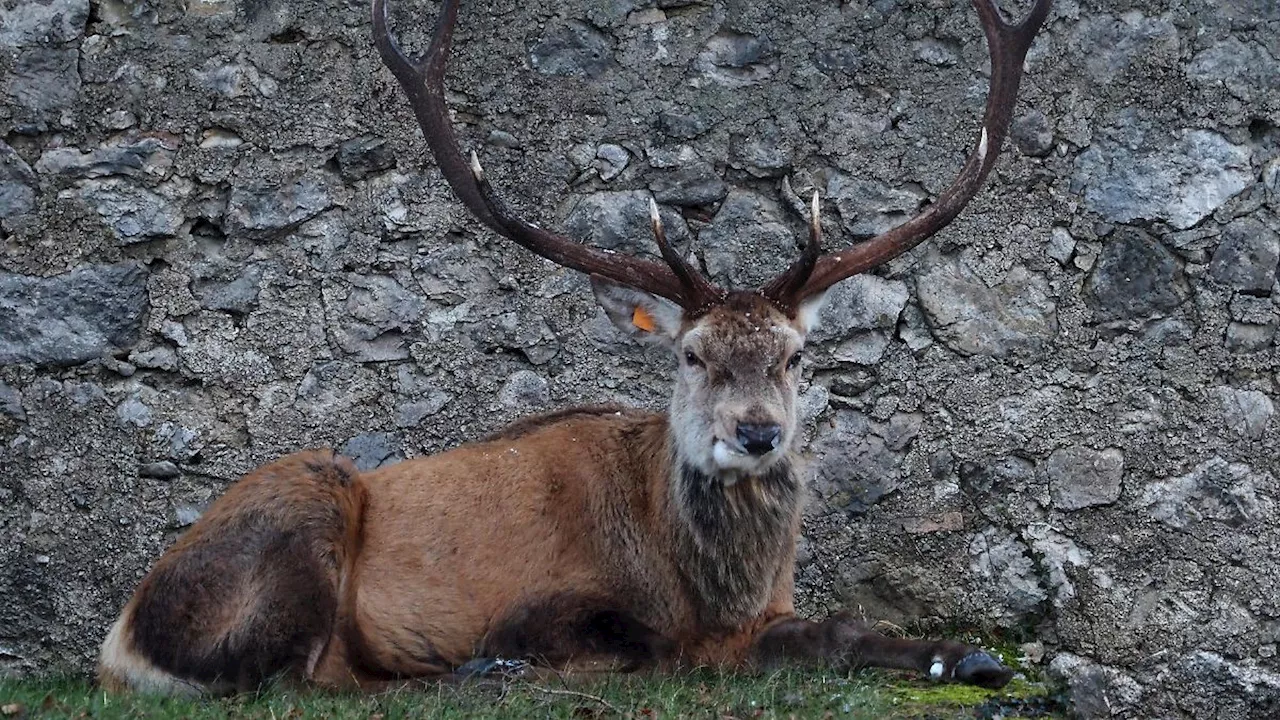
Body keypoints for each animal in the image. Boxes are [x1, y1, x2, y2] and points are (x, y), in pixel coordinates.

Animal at [90, 0, 1049, 696]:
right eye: (691, 355)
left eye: (795, 357)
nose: (757, 433)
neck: (709, 586)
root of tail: (120, 639)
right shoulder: (555, 601)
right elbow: (646, 644)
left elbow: (838, 629)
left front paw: (967, 658)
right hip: (303, 498)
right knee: (294, 680)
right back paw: (470, 673)